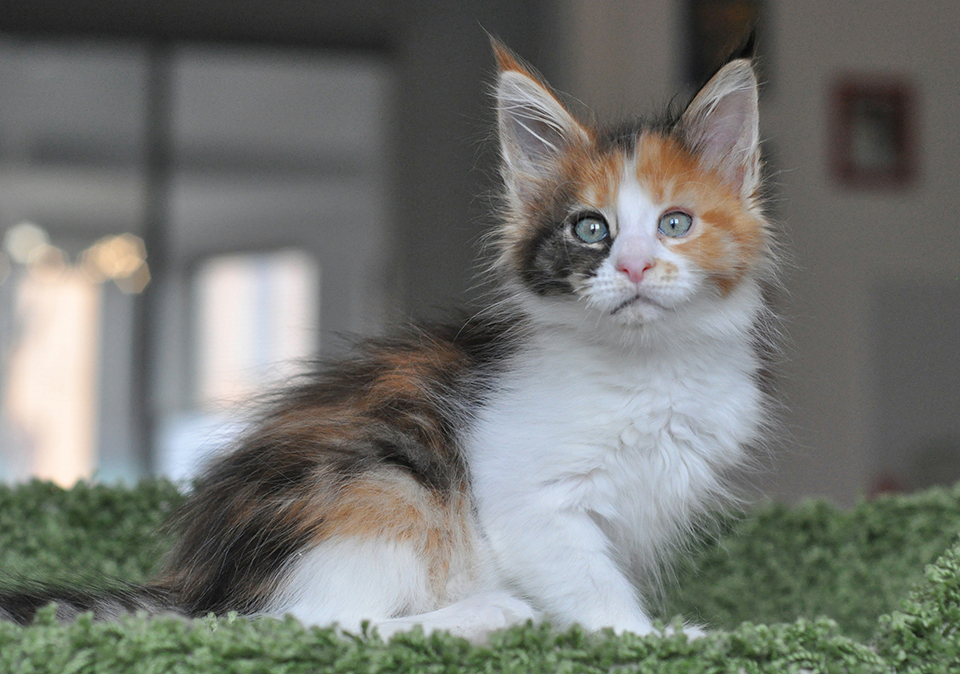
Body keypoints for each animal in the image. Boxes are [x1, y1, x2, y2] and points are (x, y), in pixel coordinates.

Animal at [1, 42, 772, 640]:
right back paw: (486, 617)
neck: (648, 366)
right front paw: (648, 639)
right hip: (385, 489)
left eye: (675, 224)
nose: (635, 266)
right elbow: (590, 583)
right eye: (592, 229)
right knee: (306, 624)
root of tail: (204, 589)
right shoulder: (528, 497)